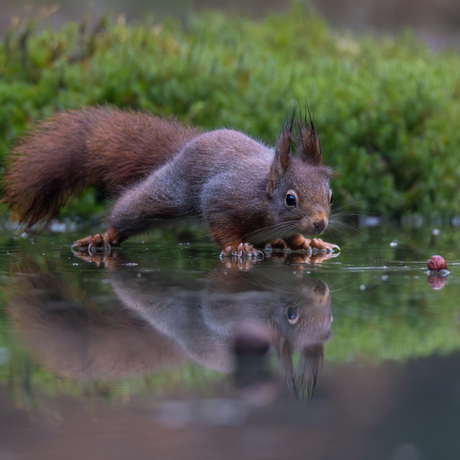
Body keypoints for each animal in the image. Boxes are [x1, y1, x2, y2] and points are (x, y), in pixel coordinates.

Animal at [1, 108, 340, 258]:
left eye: (330, 196)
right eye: (290, 199)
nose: (320, 223)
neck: (262, 194)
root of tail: (180, 151)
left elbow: (295, 238)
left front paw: (310, 243)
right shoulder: (222, 197)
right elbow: (221, 225)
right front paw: (237, 248)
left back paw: (276, 244)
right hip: (165, 195)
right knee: (129, 211)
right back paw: (103, 237)